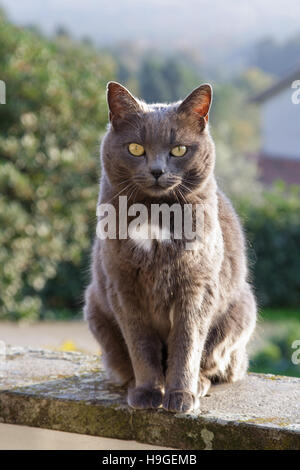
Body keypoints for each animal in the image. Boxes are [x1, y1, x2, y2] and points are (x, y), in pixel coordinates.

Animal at [84, 82, 255, 414]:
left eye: (179, 150)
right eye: (136, 148)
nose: (157, 170)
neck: (155, 215)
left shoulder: (197, 287)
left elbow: (187, 342)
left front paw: (180, 396)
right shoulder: (123, 286)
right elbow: (141, 344)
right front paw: (148, 392)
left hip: (241, 311)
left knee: (214, 362)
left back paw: (198, 384)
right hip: (95, 308)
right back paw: (132, 384)